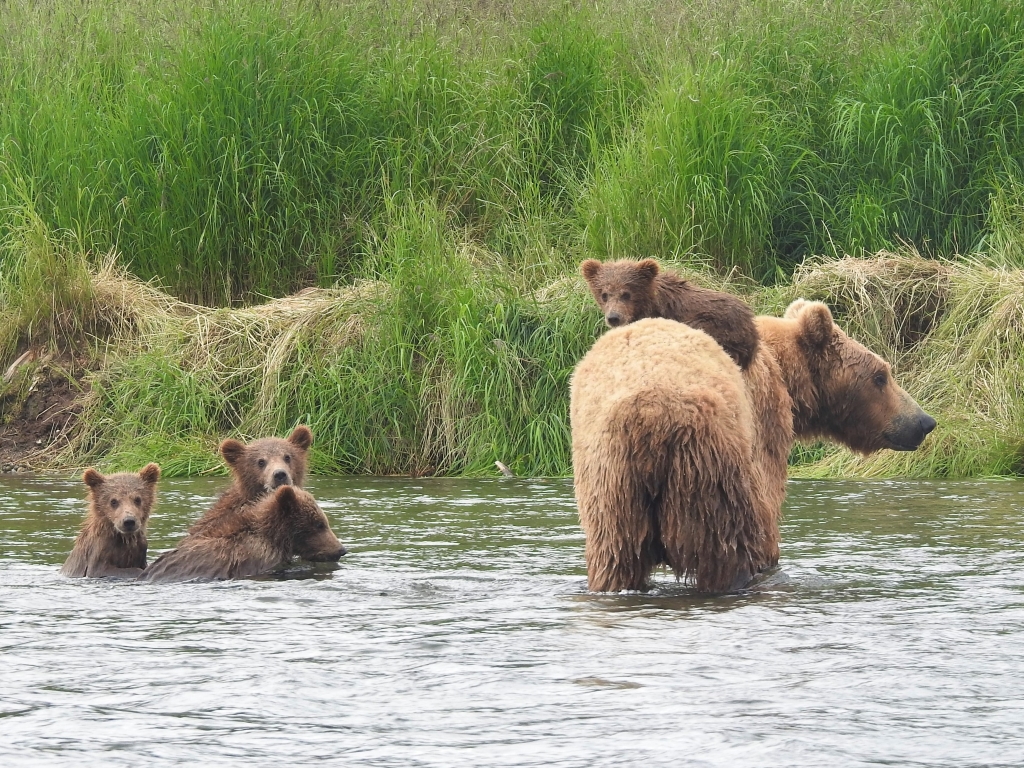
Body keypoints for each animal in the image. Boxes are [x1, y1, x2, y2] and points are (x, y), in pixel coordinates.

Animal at [570, 300, 936, 593]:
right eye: (880, 376)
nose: (923, 422)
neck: (786, 376)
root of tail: (649, 416)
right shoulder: (764, 429)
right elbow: (768, 512)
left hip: (612, 489)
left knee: (616, 558)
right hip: (707, 467)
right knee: (728, 548)